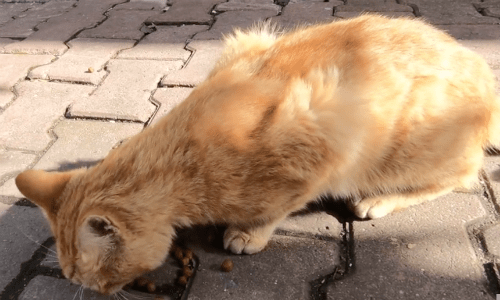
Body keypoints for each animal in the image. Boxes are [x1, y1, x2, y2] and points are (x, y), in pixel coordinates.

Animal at [13, 14, 498, 296]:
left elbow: (278, 206)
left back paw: (379, 199)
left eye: (89, 274)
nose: (88, 288)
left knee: (464, 173)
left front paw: (249, 233)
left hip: (410, 150)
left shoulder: (326, 135)